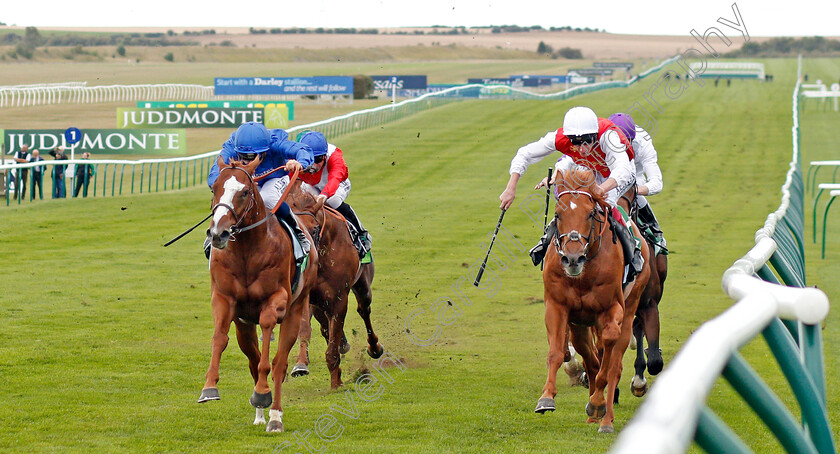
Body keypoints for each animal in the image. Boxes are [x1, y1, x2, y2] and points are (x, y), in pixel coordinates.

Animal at [197, 156, 318, 432]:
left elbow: (269, 349)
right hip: (243, 326)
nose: (218, 233)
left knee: (279, 362)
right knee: (253, 360)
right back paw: (260, 414)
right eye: (214, 188)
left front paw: (263, 394)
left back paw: (274, 416)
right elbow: (219, 338)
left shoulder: (276, 299)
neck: (247, 252)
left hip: (295, 311)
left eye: (244, 192)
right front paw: (209, 387)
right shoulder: (224, 299)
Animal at [286, 186, 384, 388]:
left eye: (314, 229)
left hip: (363, 285)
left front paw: (336, 382)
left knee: (364, 310)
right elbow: (307, 328)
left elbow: (333, 338)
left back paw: (374, 347)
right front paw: (301, 365)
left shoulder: (339, 297)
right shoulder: (307, 296)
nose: (306, 256)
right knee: (322, 323)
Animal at [540, 168, 648, 434]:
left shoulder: (612, 309)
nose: (573, 258)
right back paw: (593, 414)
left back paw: (604, 417)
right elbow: (556, 352)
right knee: (590, 359)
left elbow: (608, 356)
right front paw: (546, 398)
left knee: (614, 364)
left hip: (629, 309)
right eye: (557, 214)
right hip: (580, 325)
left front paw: (597, 403)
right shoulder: (557, 306)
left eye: (591, 213)